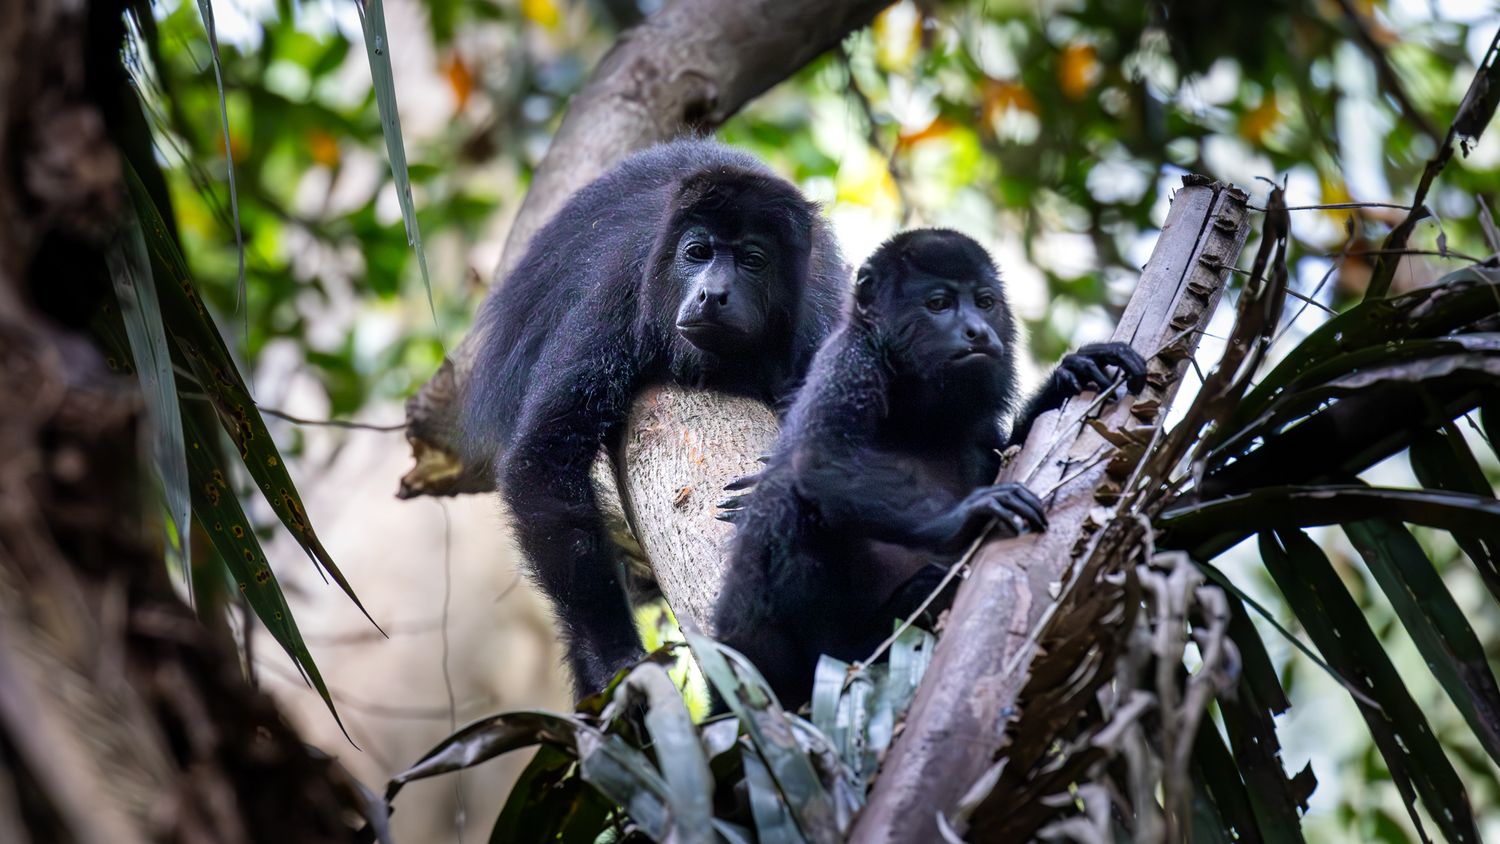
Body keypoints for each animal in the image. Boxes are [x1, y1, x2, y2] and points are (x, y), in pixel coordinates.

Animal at [462, 139, 847, 698]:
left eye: (753, 260)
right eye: (698, 253)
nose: (713, 293)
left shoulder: (820, 327)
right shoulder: (618, 298)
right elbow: (544, 456)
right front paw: (612, 657)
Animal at [712, 228, 1147, 709]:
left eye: (984, 302)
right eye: (939, 303)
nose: (978, 331)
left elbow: (1014, 454)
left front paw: (1072, 373)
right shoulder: (849, 359)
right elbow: (821, 458)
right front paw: (970, 513)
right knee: (789, 498)